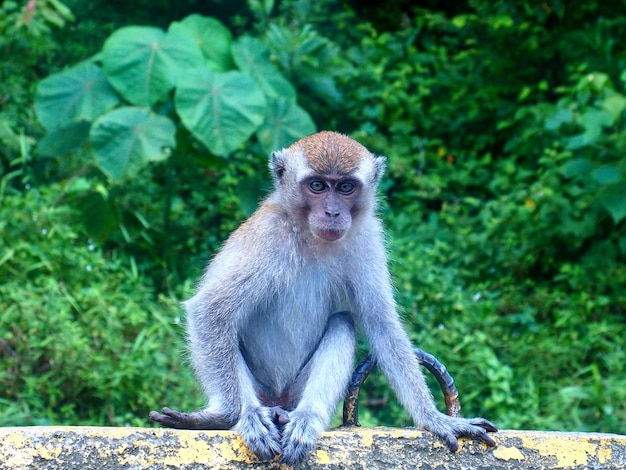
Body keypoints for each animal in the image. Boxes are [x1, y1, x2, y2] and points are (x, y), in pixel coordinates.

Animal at [149, 130, 494, 464]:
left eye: (345, 187)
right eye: (317, 185)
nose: (332, 212)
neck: (310, 236)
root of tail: (280, 400)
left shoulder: (367, 238)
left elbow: (381, 325)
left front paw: (434, 418)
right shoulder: (268, 235)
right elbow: (209, 311)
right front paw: (237, 417)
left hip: (296, 392)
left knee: (342, 322)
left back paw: (304, 419)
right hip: (260, 389)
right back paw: (240, 415)